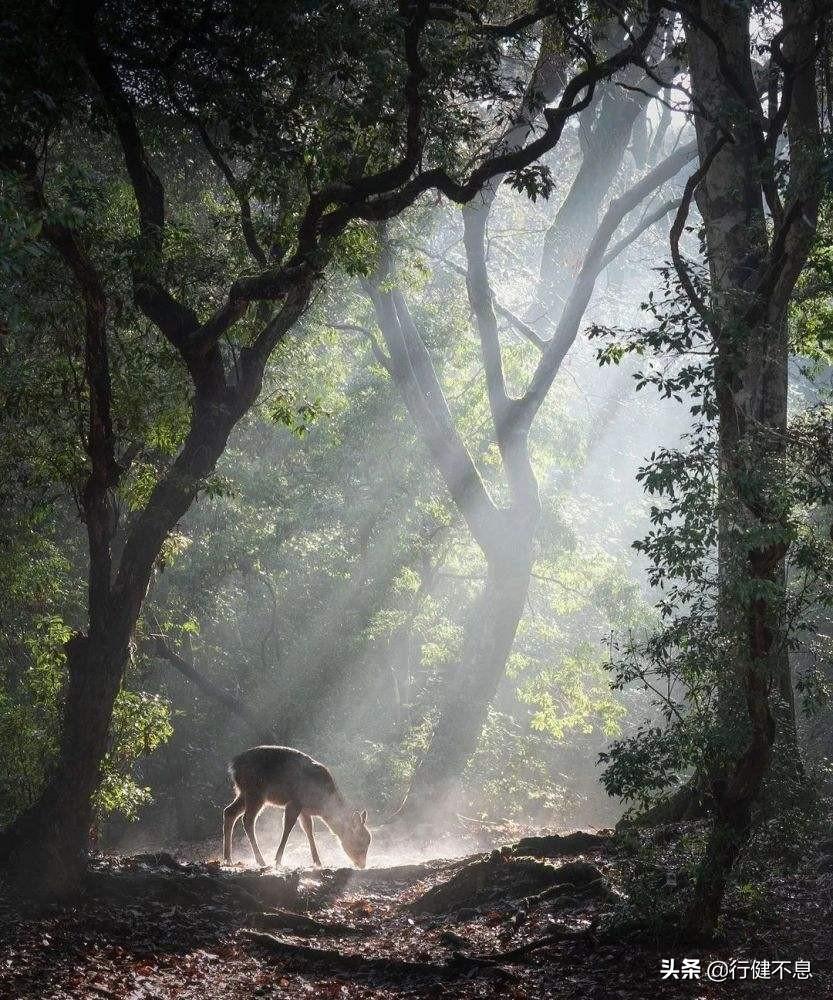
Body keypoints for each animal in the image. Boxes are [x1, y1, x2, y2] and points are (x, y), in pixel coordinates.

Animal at [224, 744, 374, 868]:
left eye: (368, 841)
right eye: (360, 841)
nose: (362, 865)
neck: (322, 805)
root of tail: (233, 766)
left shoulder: (305, 810)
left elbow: (309, 831)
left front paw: (318, 861)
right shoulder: (295, 802)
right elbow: (288, 827)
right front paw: (278, 860)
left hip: (244, 792)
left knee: (229, 811)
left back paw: (228, 858)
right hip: (255, 792)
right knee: (247, 820)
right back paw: (261, 860)